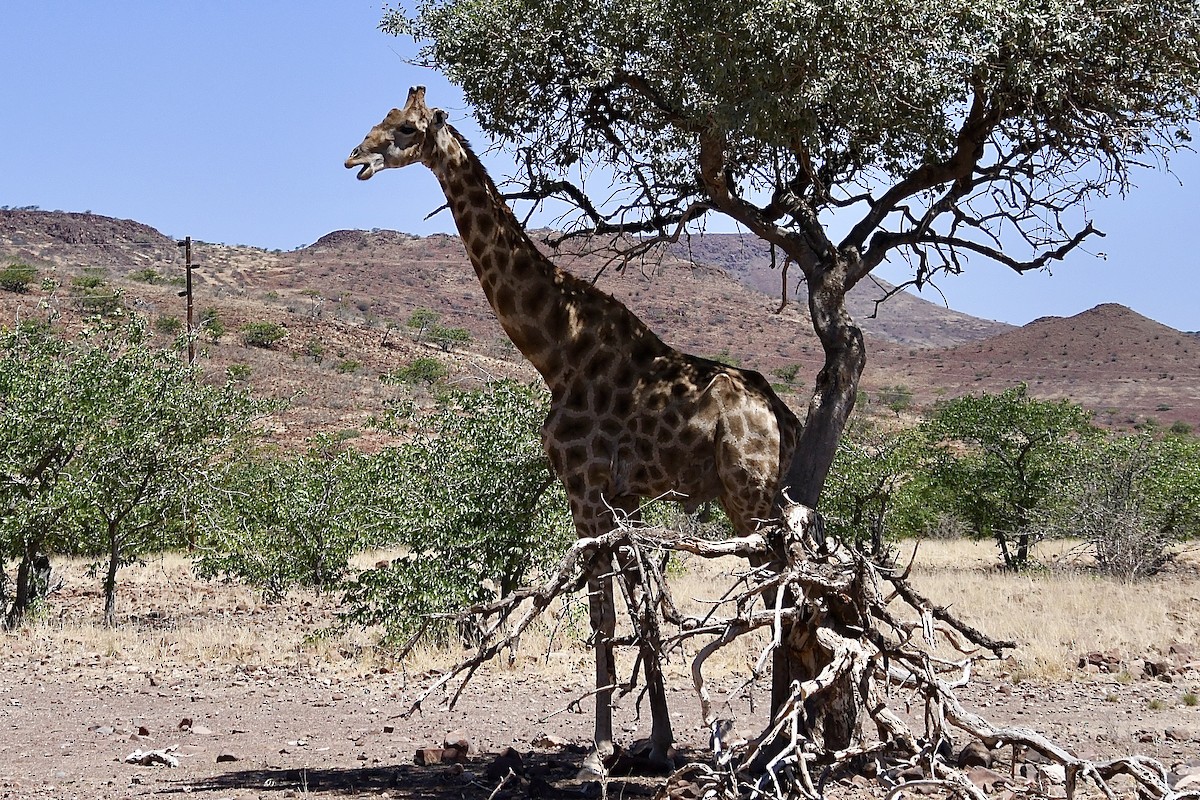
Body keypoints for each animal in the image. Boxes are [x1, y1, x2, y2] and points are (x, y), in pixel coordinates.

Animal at [345, 86, 800, 772]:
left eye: (404, 129)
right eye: (382, 120)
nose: (353, 159)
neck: (555, 348)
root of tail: (781, 415)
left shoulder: (585, 492)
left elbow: (603, 618)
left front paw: (601, 751)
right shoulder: (621, 502)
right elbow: (638, 614)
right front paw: (656, 740)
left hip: (748, 493)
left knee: (780, 584)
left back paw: (777, 732)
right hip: (752, 495)